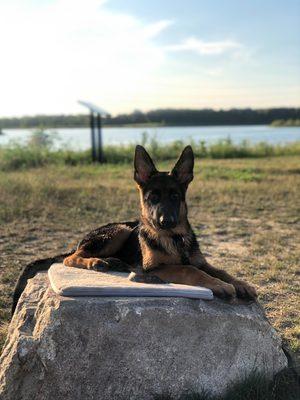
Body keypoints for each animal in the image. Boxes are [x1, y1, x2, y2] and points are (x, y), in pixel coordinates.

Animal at [11, 145, 255, 314]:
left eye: (175, 196)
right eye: (152, 198)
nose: (165, 221)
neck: (174, 239)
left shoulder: (201, 262)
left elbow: (220, 270)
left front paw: (241, 284)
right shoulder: (153, 268)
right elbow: (190, 270)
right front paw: (220, 286)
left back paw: (113, 262)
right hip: (120, 230)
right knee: (70, 258)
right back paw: (95, 262)